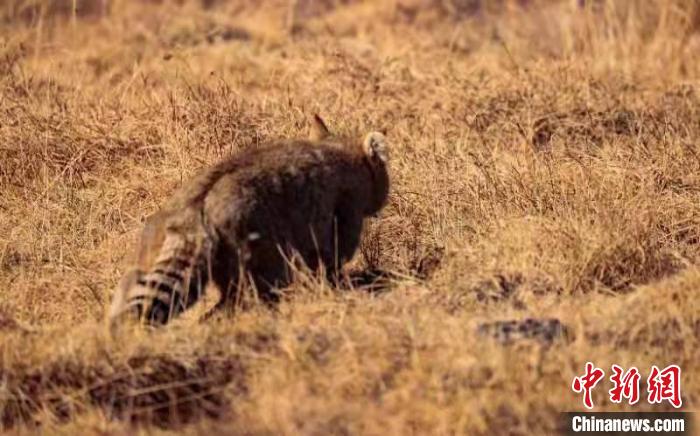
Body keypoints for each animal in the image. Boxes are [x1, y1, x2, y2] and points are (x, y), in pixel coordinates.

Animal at [112, 116, 392, 324]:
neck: (338, 148)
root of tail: (195, 208)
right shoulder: (342, 219)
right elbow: (329, 264)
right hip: (258, 259)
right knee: (239, 301)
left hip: (149, 256)